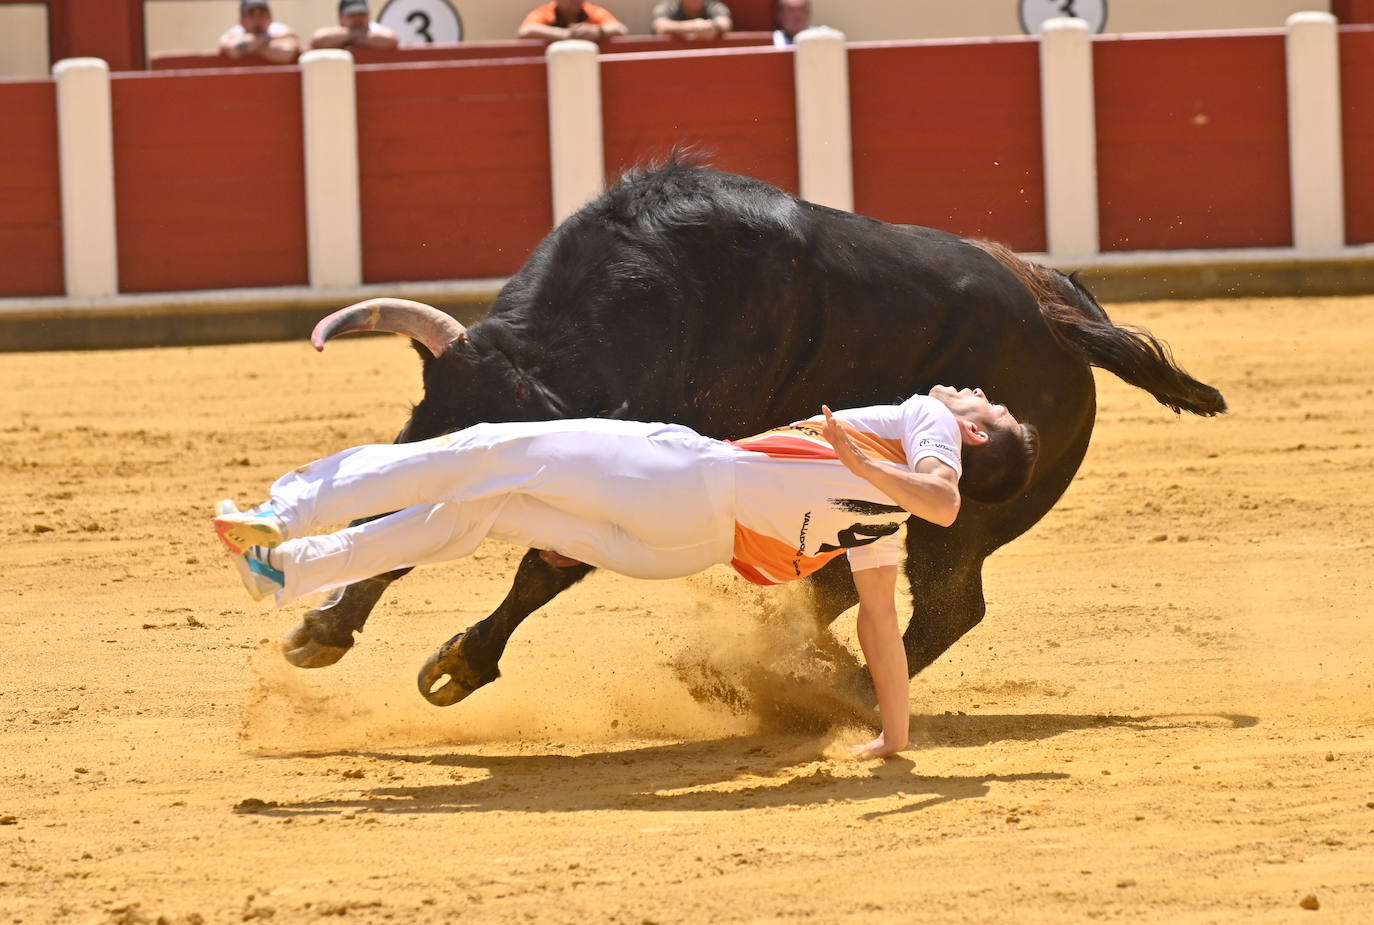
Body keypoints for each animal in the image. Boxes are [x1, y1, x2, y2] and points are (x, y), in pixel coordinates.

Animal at [278, 160, 1225, 709]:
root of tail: (1064, 319)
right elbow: (389, 532)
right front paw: (322, 629)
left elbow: (545, 568)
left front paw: (461, 665)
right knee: (840, 582)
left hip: (972, 517)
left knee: (950, 601)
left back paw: (848, 692)